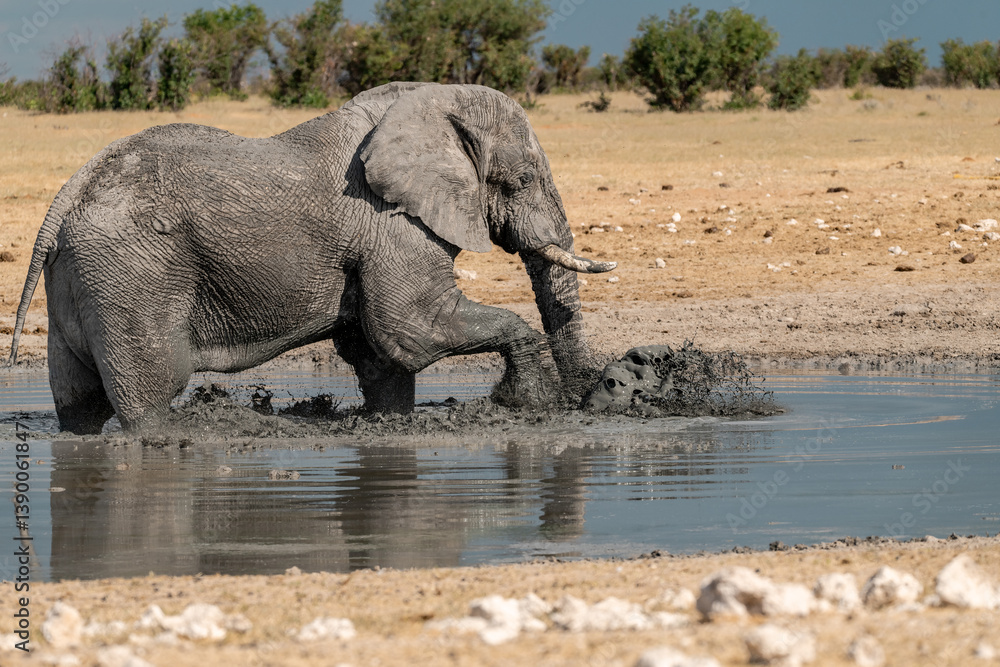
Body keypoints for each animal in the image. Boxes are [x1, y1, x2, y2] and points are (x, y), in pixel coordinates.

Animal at [8, 82, 616, 434]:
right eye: (521, 180)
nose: (591, 396)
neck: (432, 102)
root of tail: (66, 197)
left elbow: (377, 348)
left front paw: (389, 423)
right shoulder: (391, 223)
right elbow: (413, 328)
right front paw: (528, 406)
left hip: (85, 275)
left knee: (80, 403)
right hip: (133, 274)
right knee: (153, 392)